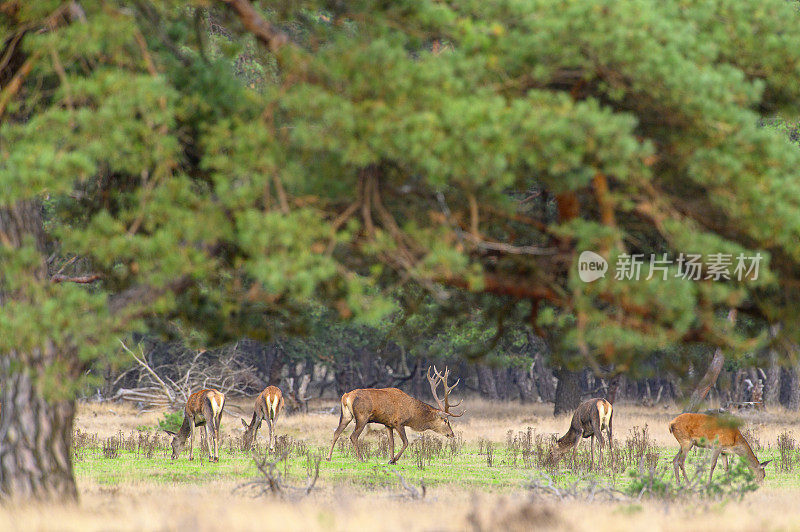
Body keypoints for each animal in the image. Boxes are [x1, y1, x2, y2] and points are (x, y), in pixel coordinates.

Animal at [324, 366, 462, 462]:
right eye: (445, 420)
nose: (451, 434)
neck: (412, 414)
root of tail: (346, 396)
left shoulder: (388, 424)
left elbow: (391, 443)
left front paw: (391, 459)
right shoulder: (398, 422)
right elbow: (406, 442)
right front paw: (394, 459)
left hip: (346, 416)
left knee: (336, 432)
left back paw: (328, 457)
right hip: (362, 417)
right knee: (353, 436)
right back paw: (361, 458)